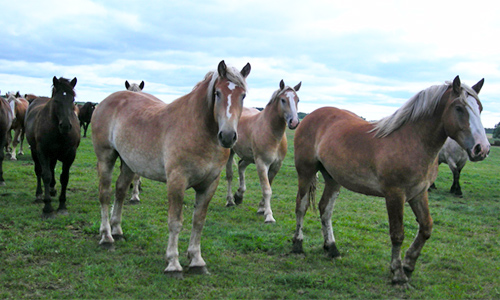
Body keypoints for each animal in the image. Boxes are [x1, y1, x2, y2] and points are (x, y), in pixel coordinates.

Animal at [24, 77, 80, 218]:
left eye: (72, 100)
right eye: (56, 100)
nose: (65, 126)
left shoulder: (70, 154)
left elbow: (64, 178)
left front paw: (62, 205)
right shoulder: (43, 152)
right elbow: (46, 175)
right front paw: (47, 207)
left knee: (52, 167)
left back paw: (52, 188)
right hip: (35, 152)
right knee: (39, 171)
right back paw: (39, 194)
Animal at [91, 61, 250, 276]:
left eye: (243, 95)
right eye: (217, 93)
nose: (227, 136)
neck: (199, 130)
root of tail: (104, 102)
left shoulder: (210, 184)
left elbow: (198, 221)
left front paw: (197, 260)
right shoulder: (177, 181)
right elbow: (175, 222)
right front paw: (173, 263)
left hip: (129, 163)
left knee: (120, 190)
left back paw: (117, 231)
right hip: (106, 158)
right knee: (105, 194)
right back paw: (106, 237)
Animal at [226, 79, 300, 223]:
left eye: (297, 99)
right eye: (283, 100)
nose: (294, 122)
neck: (271, 132)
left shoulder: (275, 166)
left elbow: (268, 185)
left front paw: (261, 209)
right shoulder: (262, 164)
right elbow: (266, 189)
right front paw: (269, 216)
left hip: (249, 157)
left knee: (241, 166)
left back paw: (239, 195)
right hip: (231, 152)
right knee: (230, 175)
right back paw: (230, 200)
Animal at [292, 76, 490, 288]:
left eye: (480, 108)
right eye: (459, 108)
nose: (482, 148)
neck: (412, 141)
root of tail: (310, 117)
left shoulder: (419, 193)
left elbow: (426, 227)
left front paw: (409, 264)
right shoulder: (395, 194)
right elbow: (397, 234)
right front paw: (398, 273)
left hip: (333, 178)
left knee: (325, 209)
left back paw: (332, 248)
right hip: (306, 172)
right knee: (301, 206)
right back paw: (298, 245)